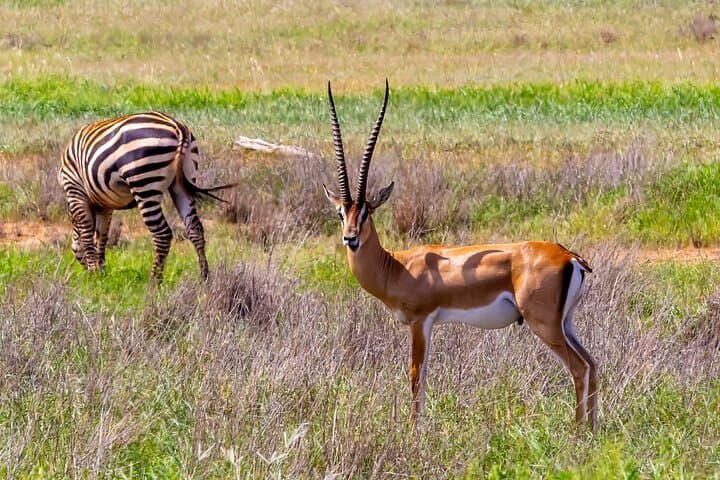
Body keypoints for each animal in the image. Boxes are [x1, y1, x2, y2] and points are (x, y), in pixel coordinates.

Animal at [323, 80, 598, 430]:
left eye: (367, 212)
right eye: (340, 213)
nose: (351, 239)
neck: (397, 267)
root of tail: (568, 256)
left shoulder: (421, 321)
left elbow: (416, 375)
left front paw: (413, 430)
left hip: (545, 325)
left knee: (578, 367)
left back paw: (577, 432)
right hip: (567, 323)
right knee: (593, 363)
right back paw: (594, 428)